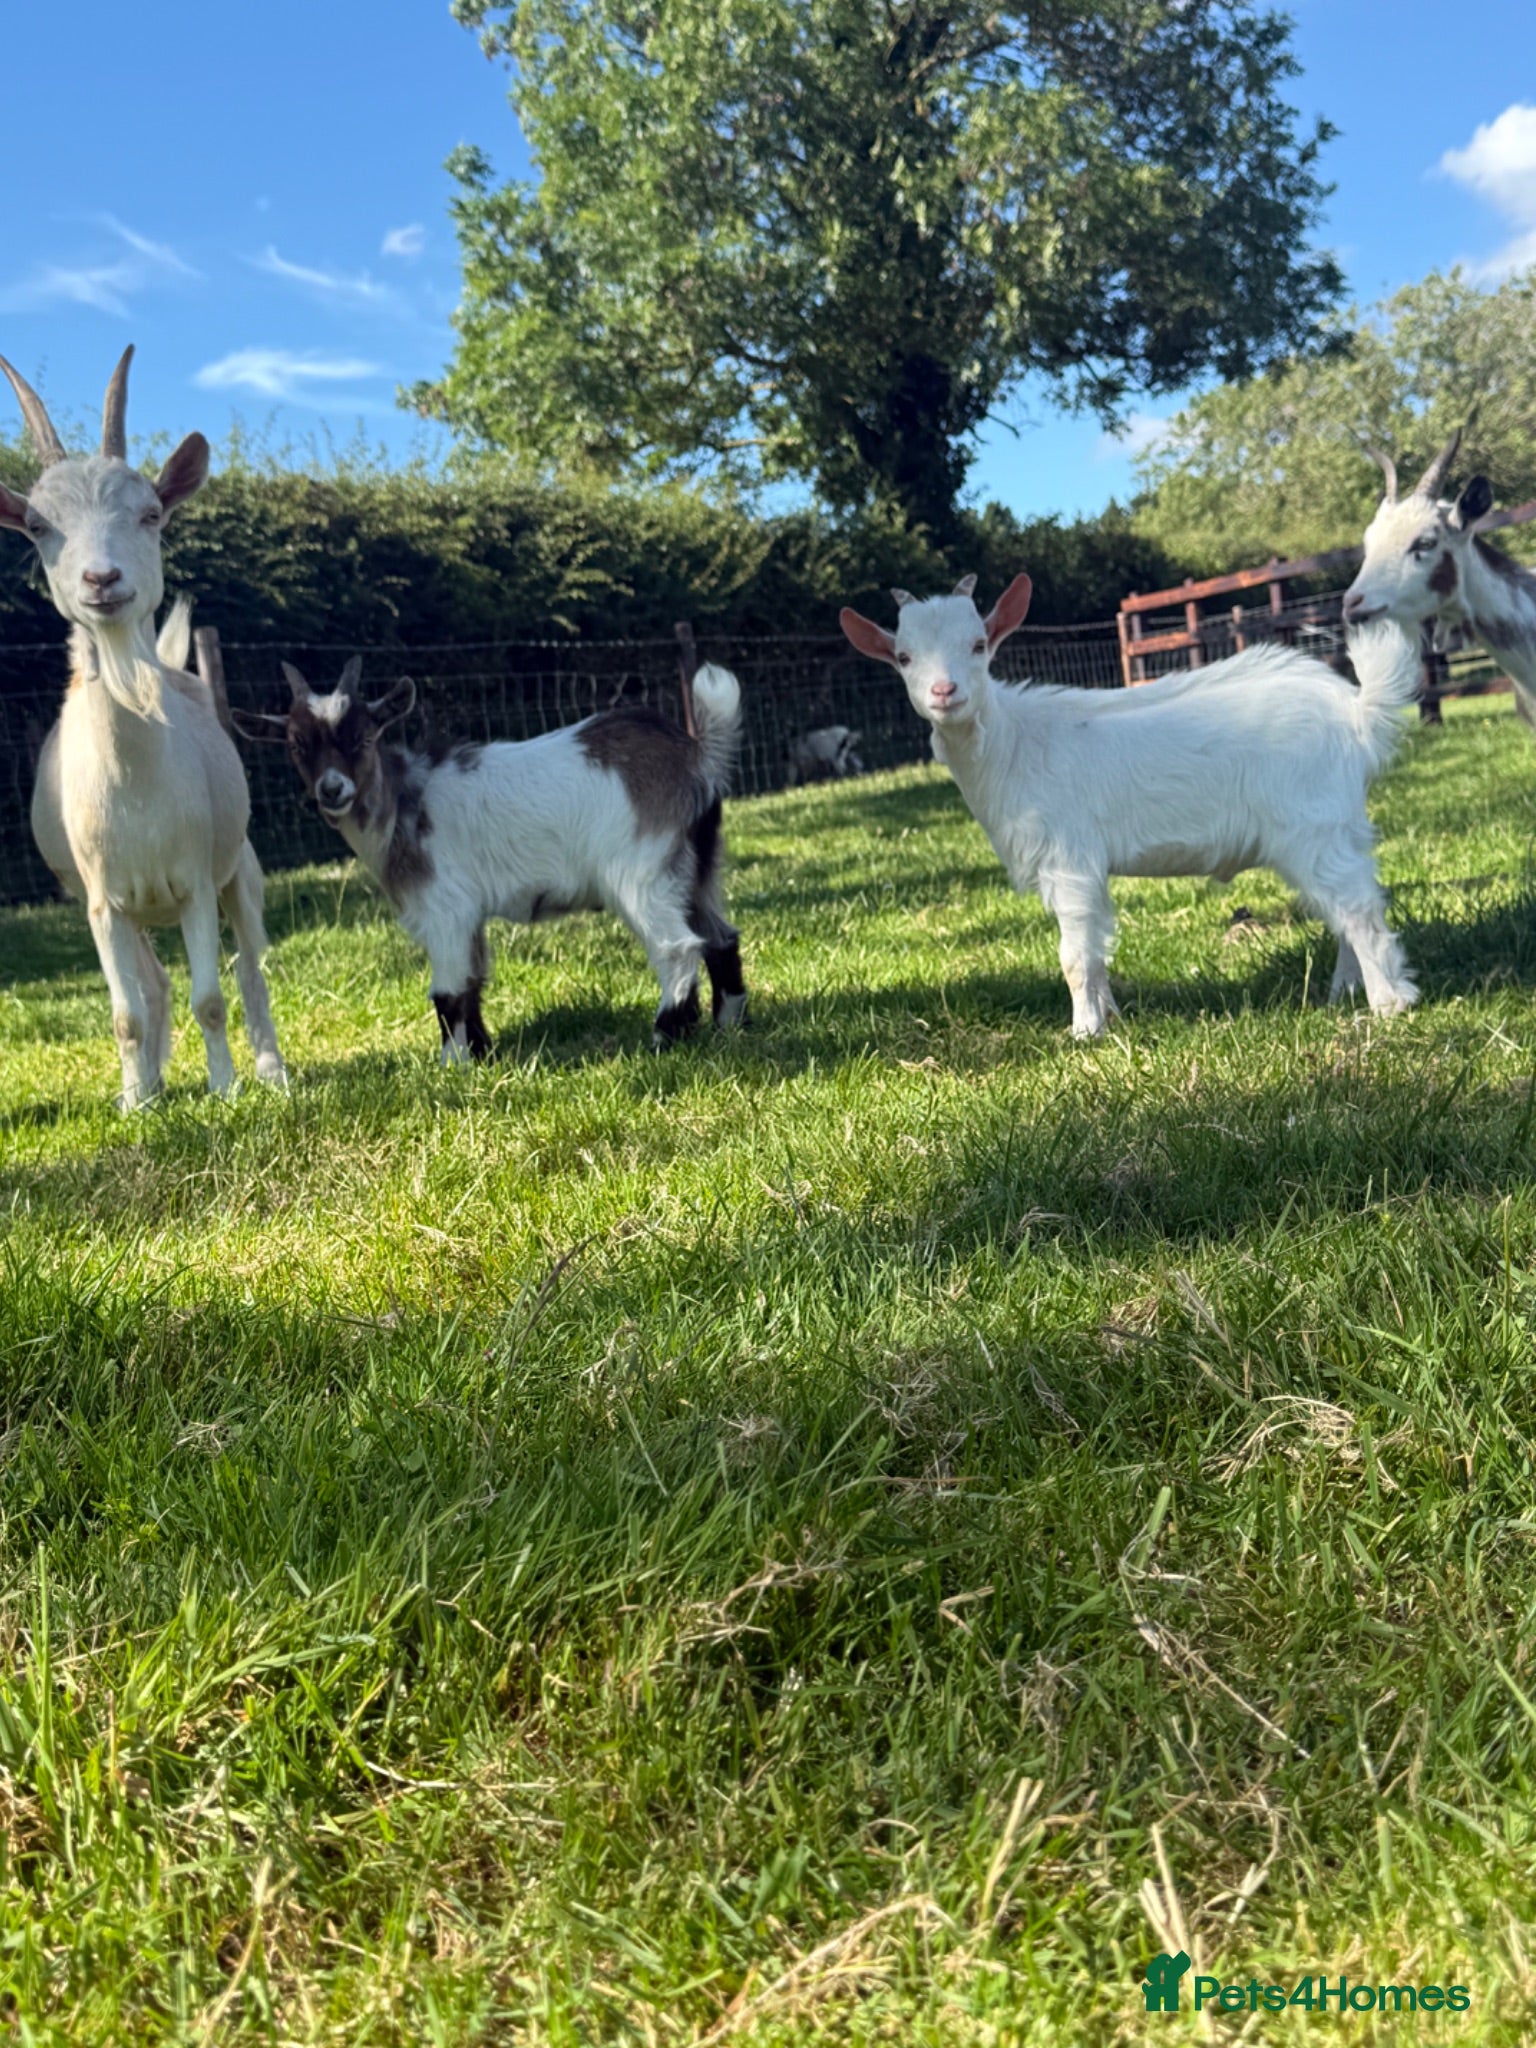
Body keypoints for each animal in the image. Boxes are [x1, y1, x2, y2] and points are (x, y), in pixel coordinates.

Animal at [0, 347, 286, 1107]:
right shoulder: (102, 903)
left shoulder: (193, 882)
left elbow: (211, 997)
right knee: (153, 984)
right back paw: (154, 1079)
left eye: (151, 513)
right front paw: (135, 1098)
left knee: (250, 966)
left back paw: (271, 1070)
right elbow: (125, 1011)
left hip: (240, 869)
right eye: (37, 527)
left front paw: (225, 1088)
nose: (102, 580)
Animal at [234, 660, 748, 1057]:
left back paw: (665, 1036)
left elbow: (448, 990)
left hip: (642, 871)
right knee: (721, 937)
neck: (403, 804)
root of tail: (696, 756)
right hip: (698, 869)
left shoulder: (445, 907)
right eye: (297, 745)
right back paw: (728, 1023)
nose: (333, 789)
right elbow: (473, 979)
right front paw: (481, 1052)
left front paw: (453, 1062)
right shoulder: (468, 915)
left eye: (363, 737)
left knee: (676, 946)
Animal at [840, 573, 1422, 1036]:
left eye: (979, 645)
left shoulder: (1068, 859)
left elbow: (1074, 956)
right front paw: (1110, 1018)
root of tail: (1355, 711)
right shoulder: (1084, 870)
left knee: (1358, 908)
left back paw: (1389, 1003)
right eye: (903, 657)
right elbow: (1097, 950)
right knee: (1342, 907)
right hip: (1329, 829)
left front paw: (1083, 1033)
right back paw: (1344, 992)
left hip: (1313, 824)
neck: (1013, 745)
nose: (945, 691)